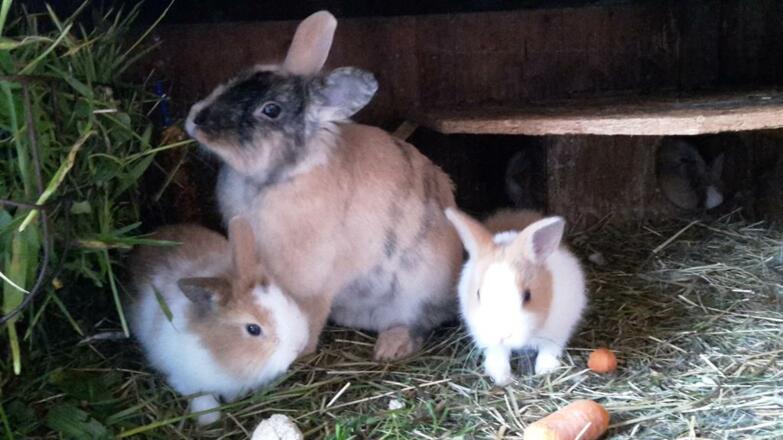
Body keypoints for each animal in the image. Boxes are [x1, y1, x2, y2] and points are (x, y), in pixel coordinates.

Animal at [128, 217, 309, 425]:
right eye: (253, 329)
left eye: (285, 297)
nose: (299, 347)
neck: (217, 351)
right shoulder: (185, 378)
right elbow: (202, 398)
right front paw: (209, 420)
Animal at [184, 11, 463, 362]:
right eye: (236, 78)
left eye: (271, 110)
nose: (195, 120)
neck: (277, 178)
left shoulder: (309, 282)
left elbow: (309, 314)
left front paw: (300, 351)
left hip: (417, 292)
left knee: (419, 323)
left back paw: (390, 347)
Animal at [444, 208, 586, 386]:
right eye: (478, 294)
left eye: (527, 296)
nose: (502, 335)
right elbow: (498, 353)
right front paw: (501, 376)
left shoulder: (561, 327)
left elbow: (549, 348)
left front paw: (545, 369)